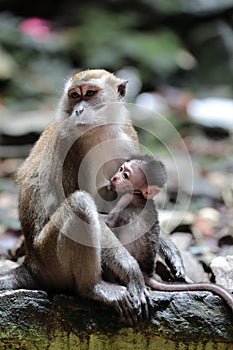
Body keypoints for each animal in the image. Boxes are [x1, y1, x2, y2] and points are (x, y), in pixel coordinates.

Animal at [103, 156, 233, 312]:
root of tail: (145, 273)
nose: (114, 178)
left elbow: (109, 223)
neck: (140, 198)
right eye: (121, 169)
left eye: (126, 176)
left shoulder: (125, 200)